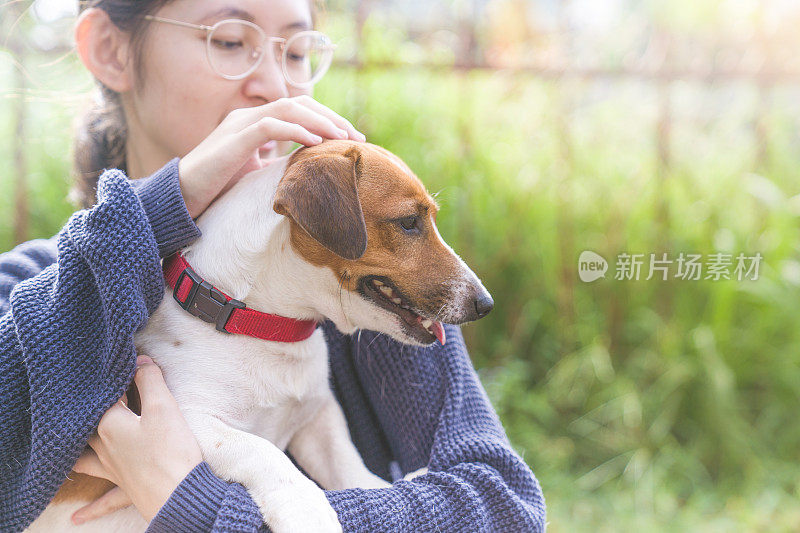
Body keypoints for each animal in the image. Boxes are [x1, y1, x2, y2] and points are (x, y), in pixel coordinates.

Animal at [28, 140, 494, 532]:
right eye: (409, 223)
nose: (485, 304)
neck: (263, 326)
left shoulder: (317, 418)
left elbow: (348, 465)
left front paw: (380, 488)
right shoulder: (187, 423)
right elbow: (263, 453)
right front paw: (310, 513)